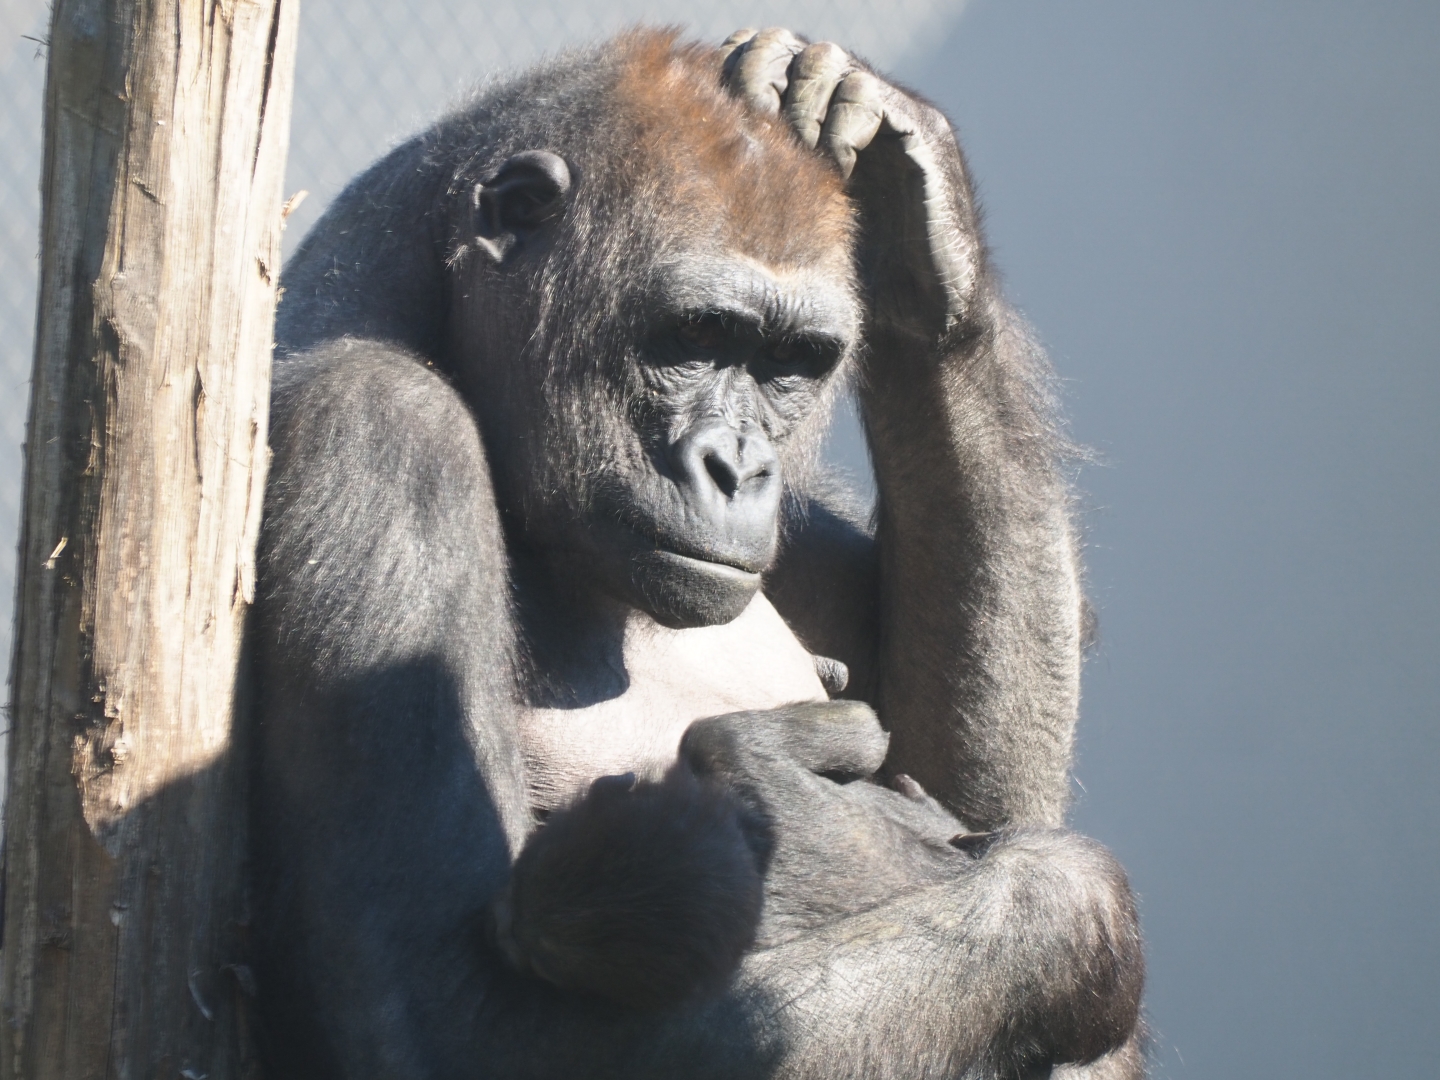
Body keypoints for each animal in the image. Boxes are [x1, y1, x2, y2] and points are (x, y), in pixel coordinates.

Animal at [251, 26, 1146, 1080]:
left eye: (791, 363)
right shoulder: (376, 426)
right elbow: (451, 1014)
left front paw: (918, 212)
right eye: (696, 335)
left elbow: (990, 797)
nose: (738, 467)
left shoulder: (802, 526)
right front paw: (1054, 908)